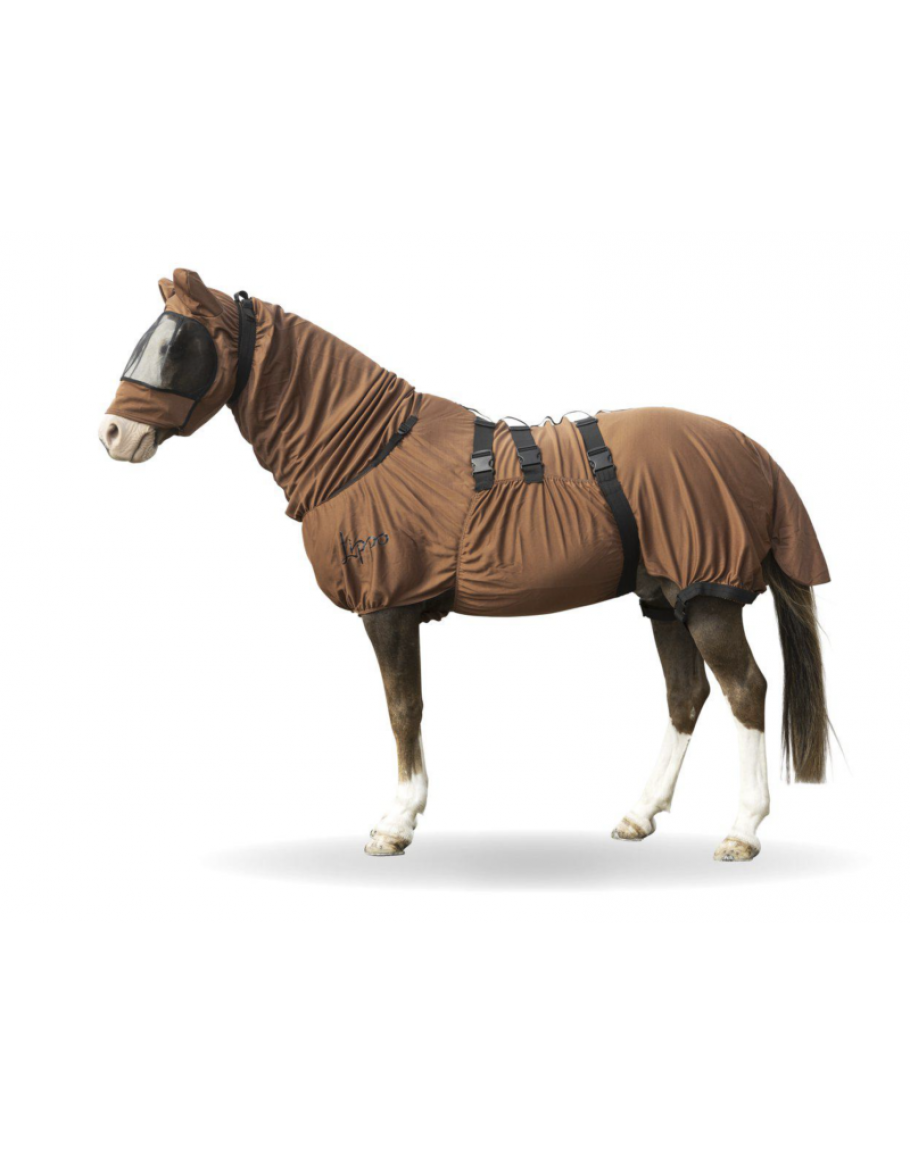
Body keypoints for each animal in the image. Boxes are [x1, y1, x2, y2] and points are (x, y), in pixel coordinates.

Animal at [99, 269, 831, 862]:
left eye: (179, 344)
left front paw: (396, 821)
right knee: (687, 696)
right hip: (664, 600)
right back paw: (639, 815)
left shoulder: (388, 608)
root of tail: (751, 451)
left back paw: (742, 830)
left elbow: (403, 706)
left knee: (745, 692)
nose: (113, 434)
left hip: (706, 597)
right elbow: (408, 707)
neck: (367, 451)